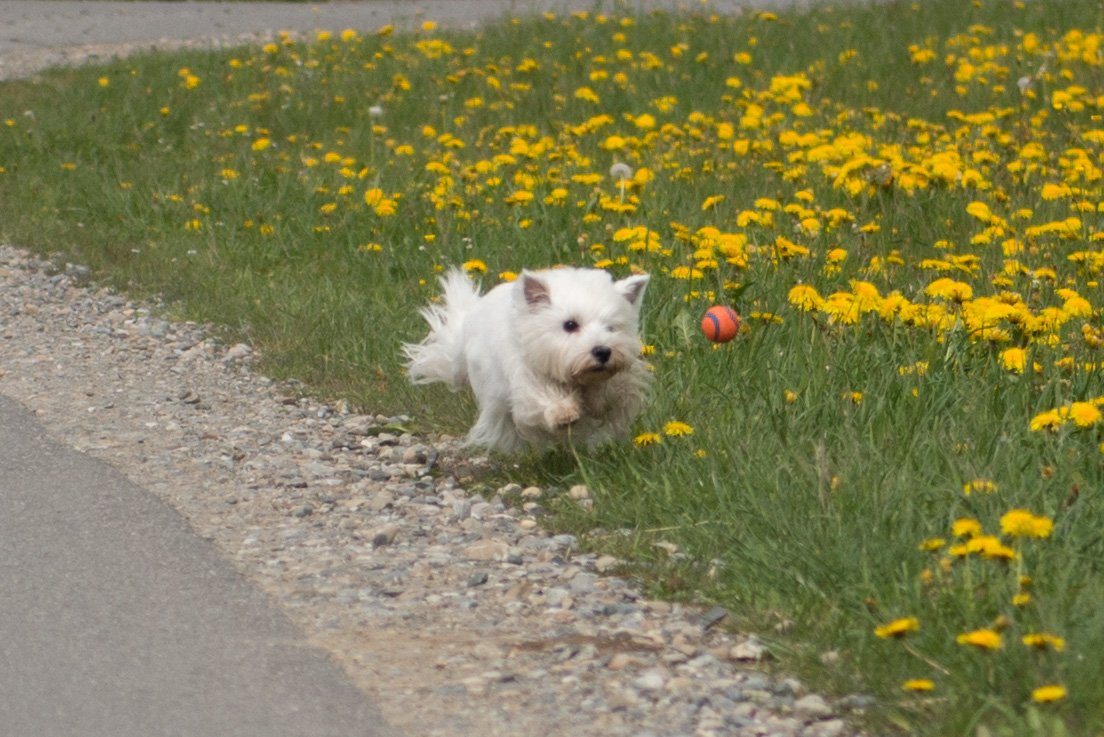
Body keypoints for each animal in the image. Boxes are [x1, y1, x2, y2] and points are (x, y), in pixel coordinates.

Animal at [404, 264, 644, 450]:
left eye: (611, 327)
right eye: (570, 324)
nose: (602, 351)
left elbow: (612, 393)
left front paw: (601, 402)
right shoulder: (527, 376)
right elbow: (544, 395)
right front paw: (563, 413)